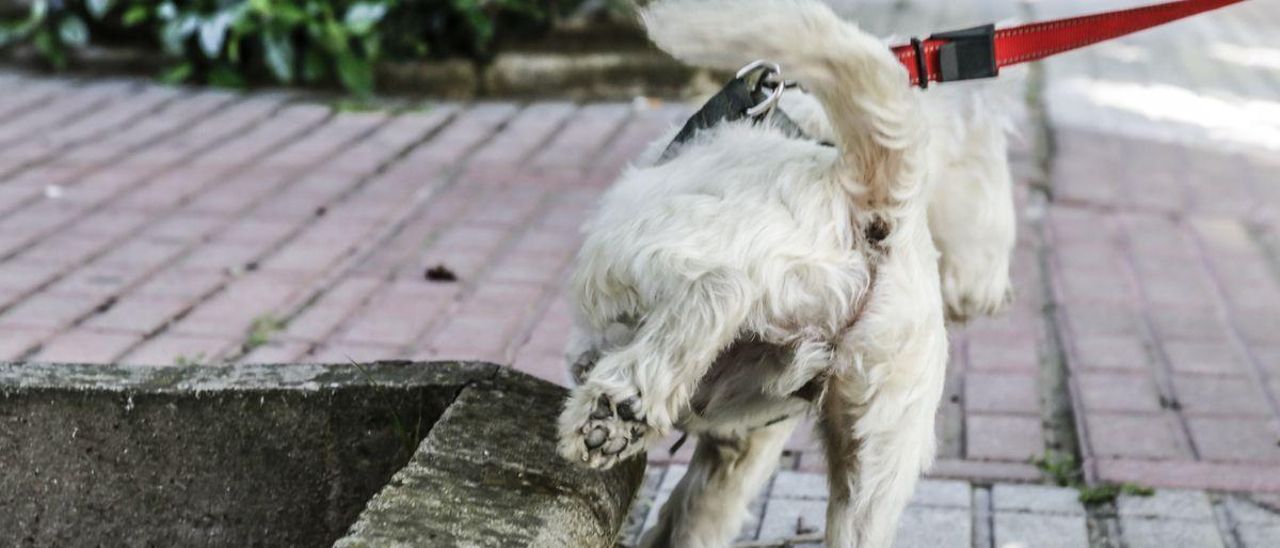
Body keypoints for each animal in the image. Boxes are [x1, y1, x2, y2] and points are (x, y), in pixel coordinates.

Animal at [555, 2, 1013, 545]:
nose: (998, 297)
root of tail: (874, 203)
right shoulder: (746, 446)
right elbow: (694, 517)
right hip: (874, 467)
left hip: (633, 248)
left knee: (719, 289)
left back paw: (616, 413)